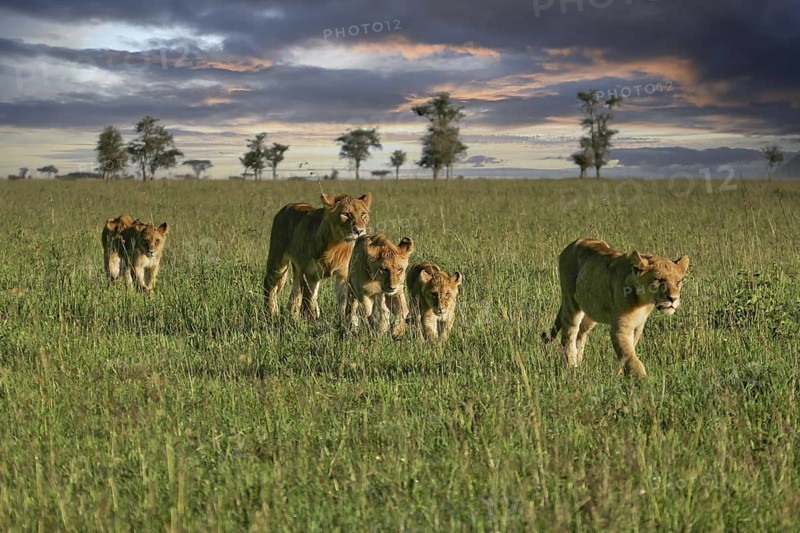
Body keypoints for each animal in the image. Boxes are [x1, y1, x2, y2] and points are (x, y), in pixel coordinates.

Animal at [542, 238, 688, 378]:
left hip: (590, 314)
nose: (673, 299)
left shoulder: (638, 326)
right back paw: (571, 369)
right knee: (568, 337)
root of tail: (572, 244)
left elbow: (626, 353)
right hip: (571, 304)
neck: (643, 303)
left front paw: (617, 374)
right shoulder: (620, 329)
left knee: (580, 335)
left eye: (678, 281)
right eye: (658, 280)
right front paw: (644, 381)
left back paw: (579, 365)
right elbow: (630, 355)